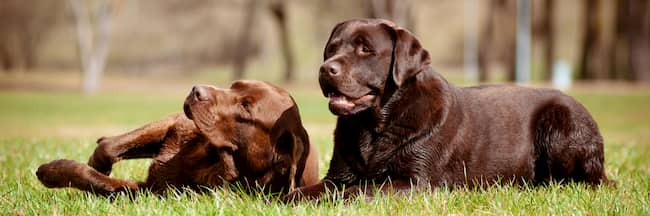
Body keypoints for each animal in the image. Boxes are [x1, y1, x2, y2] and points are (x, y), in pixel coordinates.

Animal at [286, 19, 612, 200]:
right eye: (332, 48)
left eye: (365, 49)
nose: (326, 69)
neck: (375, 125)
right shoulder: (337, 176)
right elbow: (310, 190)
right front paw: (284, 198)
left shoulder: (415, 183)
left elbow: (358, 192)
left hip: (562, 124)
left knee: (583, 182)